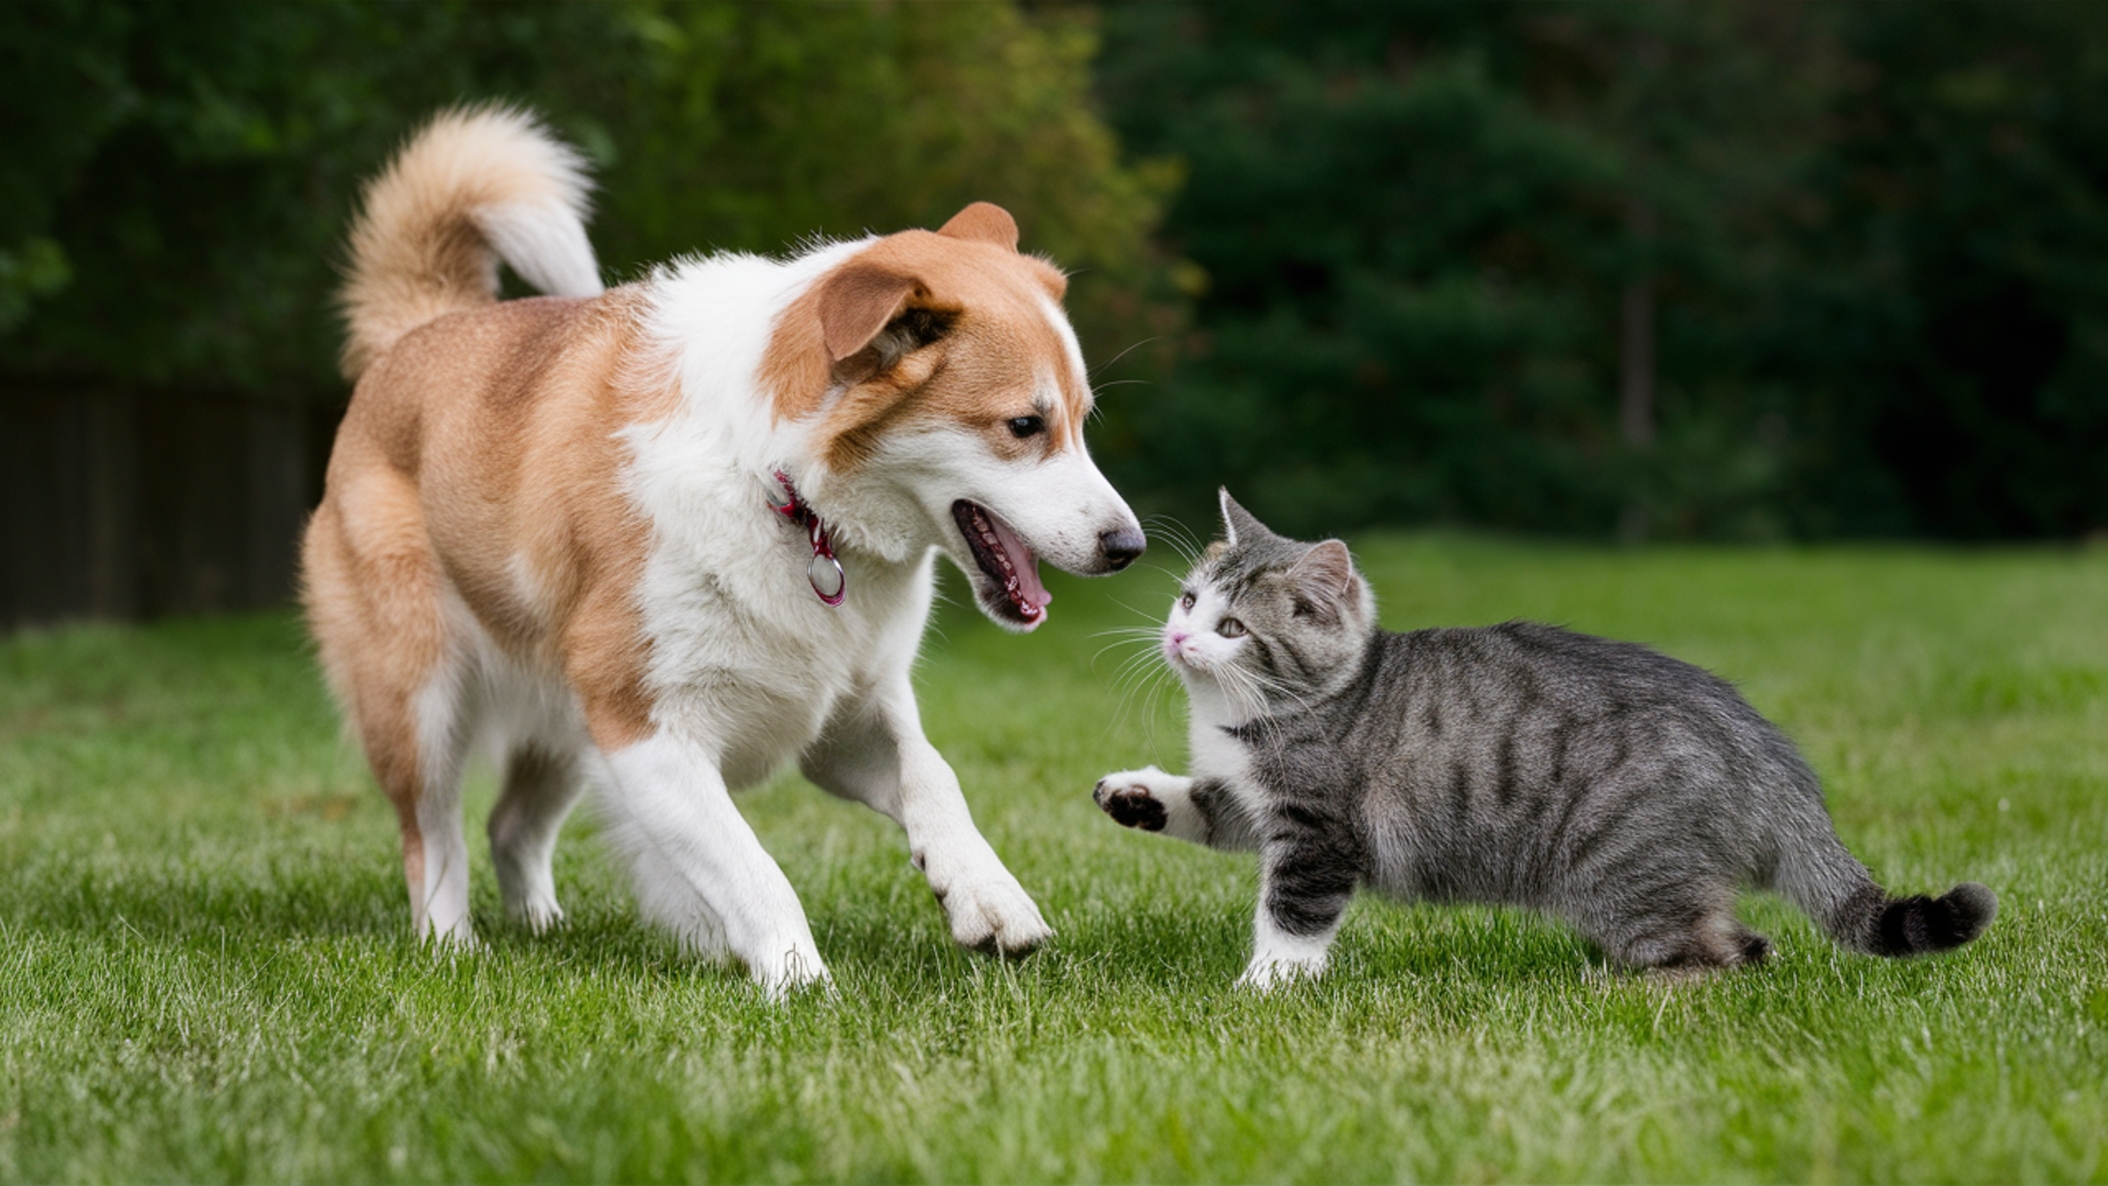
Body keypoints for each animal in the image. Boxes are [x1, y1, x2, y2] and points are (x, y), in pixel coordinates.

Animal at [301, 106, 1138, 994]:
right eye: (1024, 425)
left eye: (1080, 419)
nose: (1129, 545)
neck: (784, 488)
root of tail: (417, 331)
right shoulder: (646, 736)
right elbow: (752, 868)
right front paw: (800, 982)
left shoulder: (848, 723)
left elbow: (933, 777)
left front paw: (987, 895)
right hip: (421, 706)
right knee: (435, 842)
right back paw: (452, 948)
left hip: (564, 726)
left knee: (510, 825)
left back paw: (544, 928)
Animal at [1096, 486, 1998, 990]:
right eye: (1187, 600)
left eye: (1234, 627)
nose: (1177, 637)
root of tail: (1771, 765)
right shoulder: (1253, 805)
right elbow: (1209, 808)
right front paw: (1137, 795)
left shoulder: (1318, 827)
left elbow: (1291, 910)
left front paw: (1267, 985)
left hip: (1621, 869)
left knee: (1734, 955)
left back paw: (1623, 991)